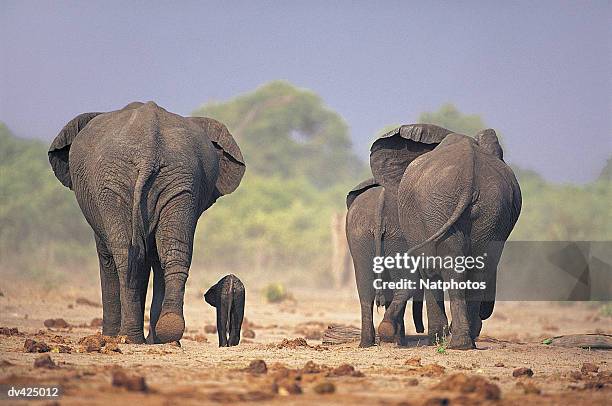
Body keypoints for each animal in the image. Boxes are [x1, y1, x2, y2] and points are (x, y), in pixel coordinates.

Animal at [47, 101, 245, 342]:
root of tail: (151, 146)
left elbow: (109, 257)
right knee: (173, 252)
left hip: (113, 185)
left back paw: (130, 338)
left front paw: (112, 337)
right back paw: (168, 332)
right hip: (180, 180)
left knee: (125, 257)